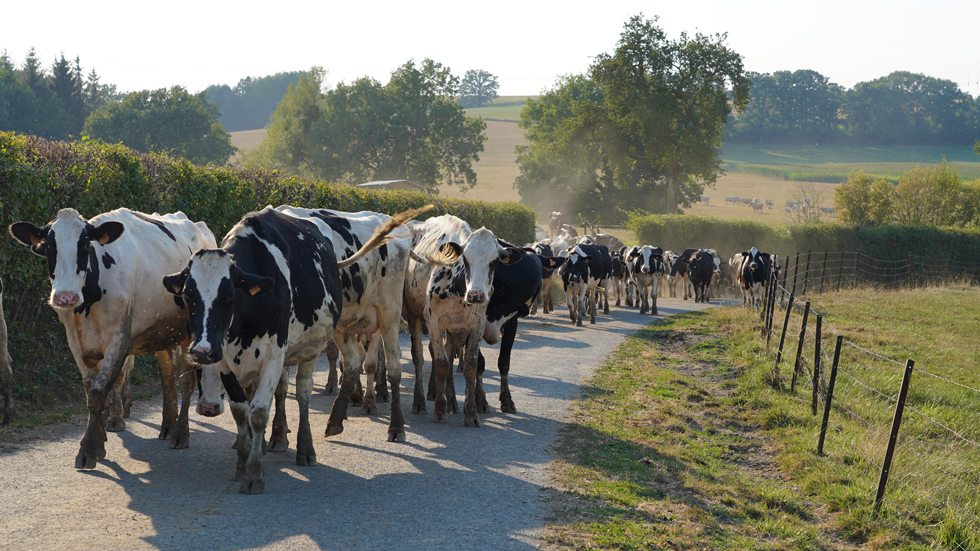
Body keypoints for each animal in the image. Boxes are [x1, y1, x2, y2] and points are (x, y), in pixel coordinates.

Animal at [10, 209, 213, 468]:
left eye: (85, 245)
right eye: (48, 247)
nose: (65, 297)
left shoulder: (120, 340)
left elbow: (99, 392)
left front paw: (87, 450)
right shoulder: (75, 343)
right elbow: (93, 391)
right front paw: (99, 442)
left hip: (190, 335)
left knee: (187, 382)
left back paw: (180, 434)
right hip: (161, 333)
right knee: (167, 376)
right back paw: (167, 426)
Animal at [165, 208, 410, 496]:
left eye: (228, 295)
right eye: (188, 296)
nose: (202, 352)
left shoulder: (273, 356)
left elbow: (259, 412)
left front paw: (254, 473)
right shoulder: (225, 361)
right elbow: (241, 411)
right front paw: (243, 460)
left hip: (384, 315)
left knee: (376, 372)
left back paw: (385, 429)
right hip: (340, 326)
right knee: (352, 362)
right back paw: (335, 421)